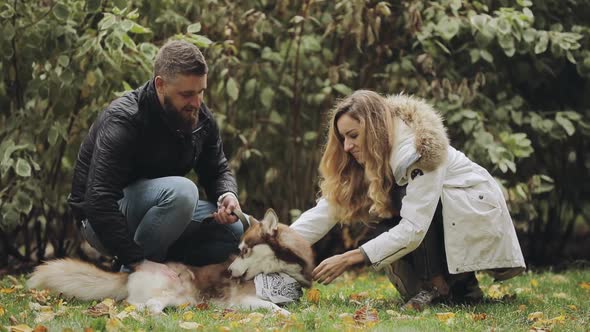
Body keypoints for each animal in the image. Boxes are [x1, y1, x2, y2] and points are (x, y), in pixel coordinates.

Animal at [27, 209, 316, 316]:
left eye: (244, 251)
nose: (229, 270)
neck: (280, 273)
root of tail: (134, 269)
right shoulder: (243, 299)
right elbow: (274, 307)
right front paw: (286, 316)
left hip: (181, 298)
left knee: (138, 304)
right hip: (173, 289)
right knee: (146, 305)